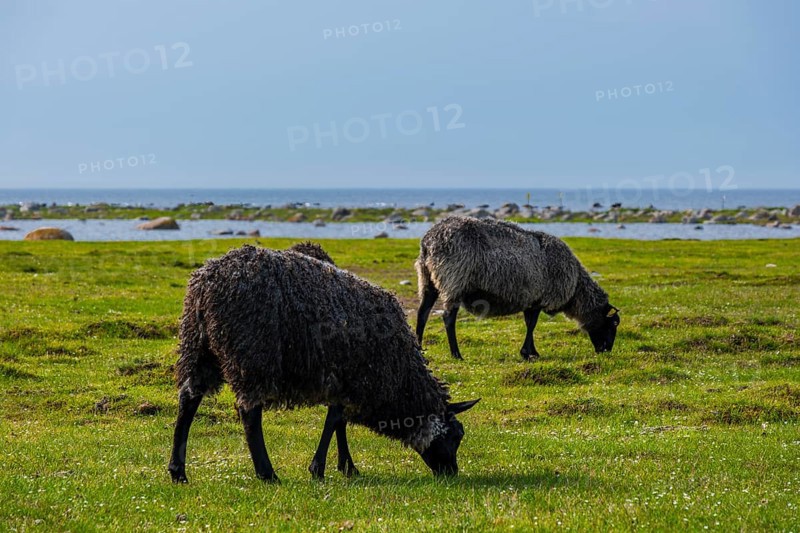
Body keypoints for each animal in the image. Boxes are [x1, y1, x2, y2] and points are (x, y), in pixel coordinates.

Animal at [168, 244, 479, 483]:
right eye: (456, 435)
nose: (451, 473)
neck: (401, 378)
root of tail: (205, 286)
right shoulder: (355, 378)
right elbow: (334, 420)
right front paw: (319, 469)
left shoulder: (344, 379)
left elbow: (338, 420)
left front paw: (346, 466)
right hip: (252, 352)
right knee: (249, 413)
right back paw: (267, 474)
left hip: (198, 347)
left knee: (188, 400)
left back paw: (178, 471)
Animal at [415, 216, 620, 360]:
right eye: (614, 324)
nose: (606, 350)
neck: (576, 288)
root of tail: (428, 241)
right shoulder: (539, 299)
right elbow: (532, 325)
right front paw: (528, 353)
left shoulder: (531, 300)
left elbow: (529, 323)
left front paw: (531, 351)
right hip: (454, 280)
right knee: (448, 318)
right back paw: (456, 354)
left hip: (428, 279)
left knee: (422, 313)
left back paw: (419, 347)